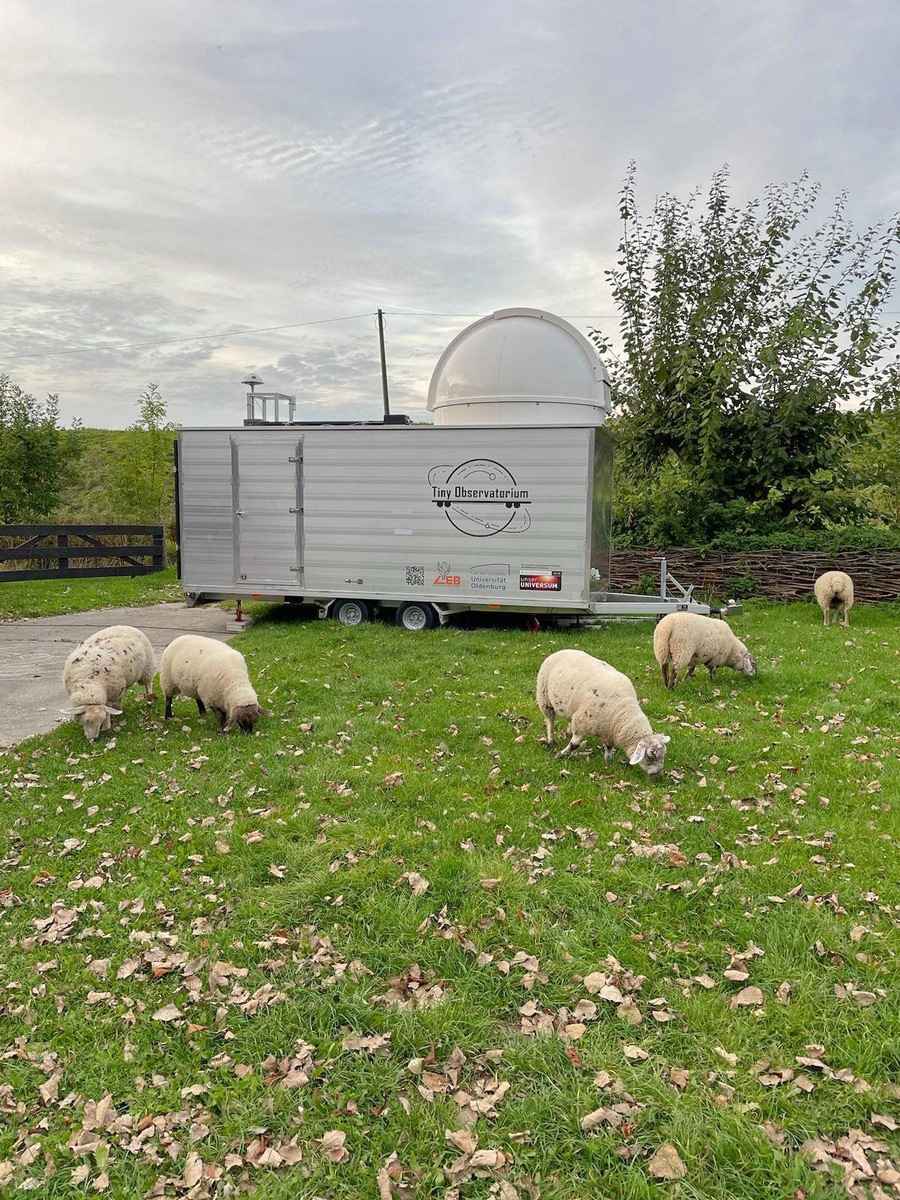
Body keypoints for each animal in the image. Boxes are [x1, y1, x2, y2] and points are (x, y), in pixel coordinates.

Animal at [535, 648, 672, 777]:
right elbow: (574, 745)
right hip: (544, 697)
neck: (622, 711)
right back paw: (551, 739)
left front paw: (608, 761)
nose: (658, 776)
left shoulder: (607, 730)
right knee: (550, 720)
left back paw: (568, 731)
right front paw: (561, 754)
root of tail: (561, 651)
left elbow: (609, 746)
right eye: (651, 756)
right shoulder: (582, 722)